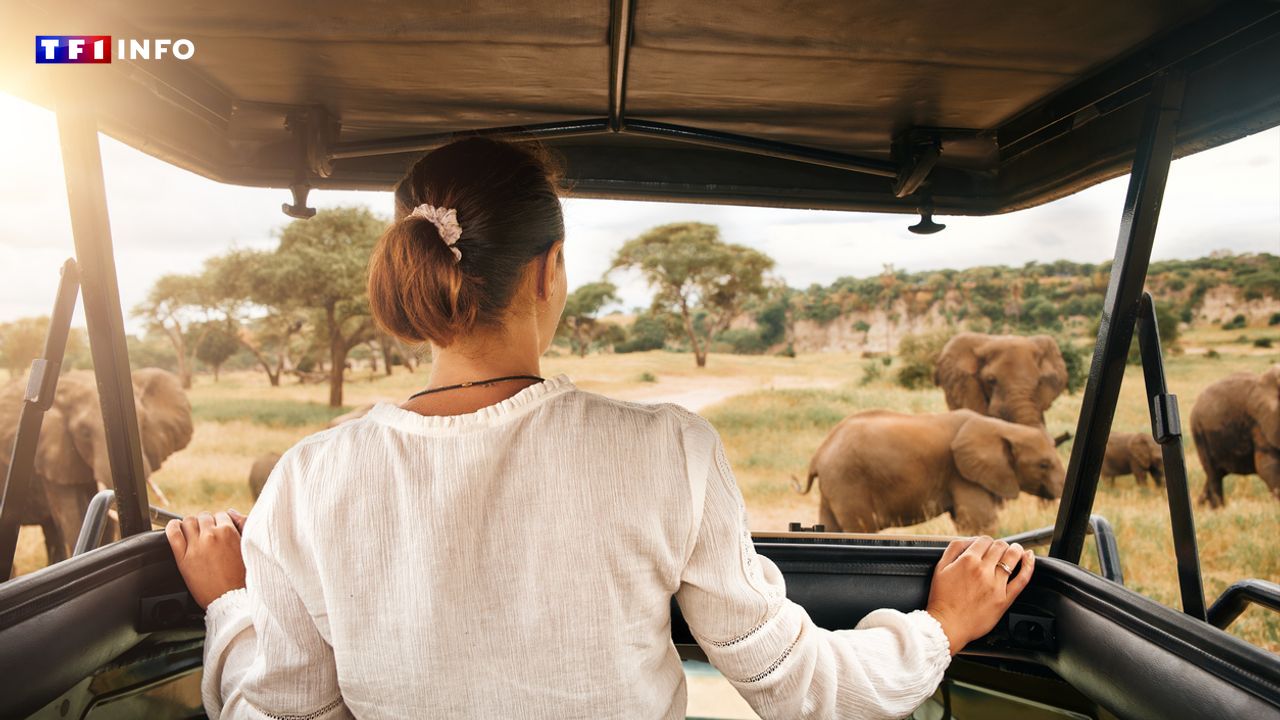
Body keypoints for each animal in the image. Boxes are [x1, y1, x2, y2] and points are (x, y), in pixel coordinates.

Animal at [793, 409, 1064, 532]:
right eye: (1044, 465)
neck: (1003, 428)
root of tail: (819, 453)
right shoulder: (963, 474)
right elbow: (980, 523)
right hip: (849, 482)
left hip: (834, 486)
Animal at [1182, 361, 1274, 507]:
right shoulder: (1261, 424)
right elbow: (1267, 466)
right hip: (1199, 432)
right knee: (1214, 475)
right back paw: (1218, 509)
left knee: (1216, 474)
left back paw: (1201, 505)